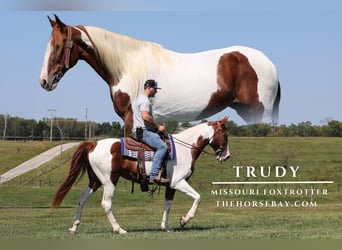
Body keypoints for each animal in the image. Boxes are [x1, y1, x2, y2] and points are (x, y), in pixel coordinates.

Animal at [39, 14, 280, 136]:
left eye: (58, 45)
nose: (44, 81)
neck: (127, 66)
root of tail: (270, 64)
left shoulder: (130, 118)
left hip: (258, 111)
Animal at [51, 116, 230, 232]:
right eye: (225, 135)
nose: (227, 156)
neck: (184, 149)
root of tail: (93, 144)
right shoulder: (178, 182)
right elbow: (198, 197)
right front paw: (184, 220)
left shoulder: (170, 185)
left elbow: (168, 205)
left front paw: (166, 226)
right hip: (110, 180)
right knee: (106, 204)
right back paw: (119, 229)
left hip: (95, 181)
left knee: (81, 199)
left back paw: (74, 227)